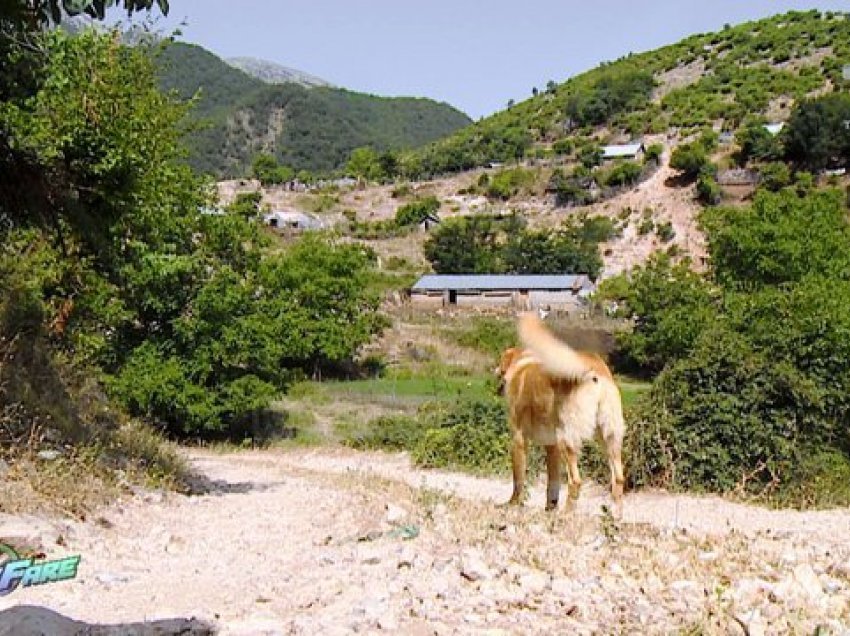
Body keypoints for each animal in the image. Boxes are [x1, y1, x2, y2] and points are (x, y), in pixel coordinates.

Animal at [496, 314, 624, 516]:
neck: (523, 364)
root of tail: (593, 368)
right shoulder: (552, 446)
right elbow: (553, 484)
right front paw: (550, 509)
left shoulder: (518, 439)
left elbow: (518, 480)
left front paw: (512, 504)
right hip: (609, 437)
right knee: (618, 479)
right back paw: (615, 516)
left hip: (568, 440)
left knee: (575, 481)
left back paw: (566, 514)